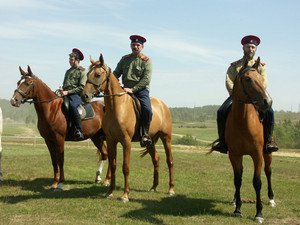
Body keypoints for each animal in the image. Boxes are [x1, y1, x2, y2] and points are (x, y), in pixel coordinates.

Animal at [82, 54, 176, 202]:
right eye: (87, 74)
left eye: (97, 74)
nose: (84, 95)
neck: (117, 107)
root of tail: (163, 105)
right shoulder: (111, 141)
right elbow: (113, 165)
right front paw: (110, 192)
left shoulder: (126, 142)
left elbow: (125, 167)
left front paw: (125, 195)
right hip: (150, 141)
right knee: (156, 159)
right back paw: (153, 187)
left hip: (166, 138)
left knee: (169, 161)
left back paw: (171, 189)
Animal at [219, 57, 276, 221]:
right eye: (248, 79)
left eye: (261, 79)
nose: (268, 102)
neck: (243, 121)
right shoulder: (234, 155)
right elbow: (237, 180)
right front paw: (238, 209)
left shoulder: (257, 154)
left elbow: (257, 182)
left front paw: (259, 213)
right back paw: (234, 199)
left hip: (268, 153)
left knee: (268, 171)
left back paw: (271, 199)